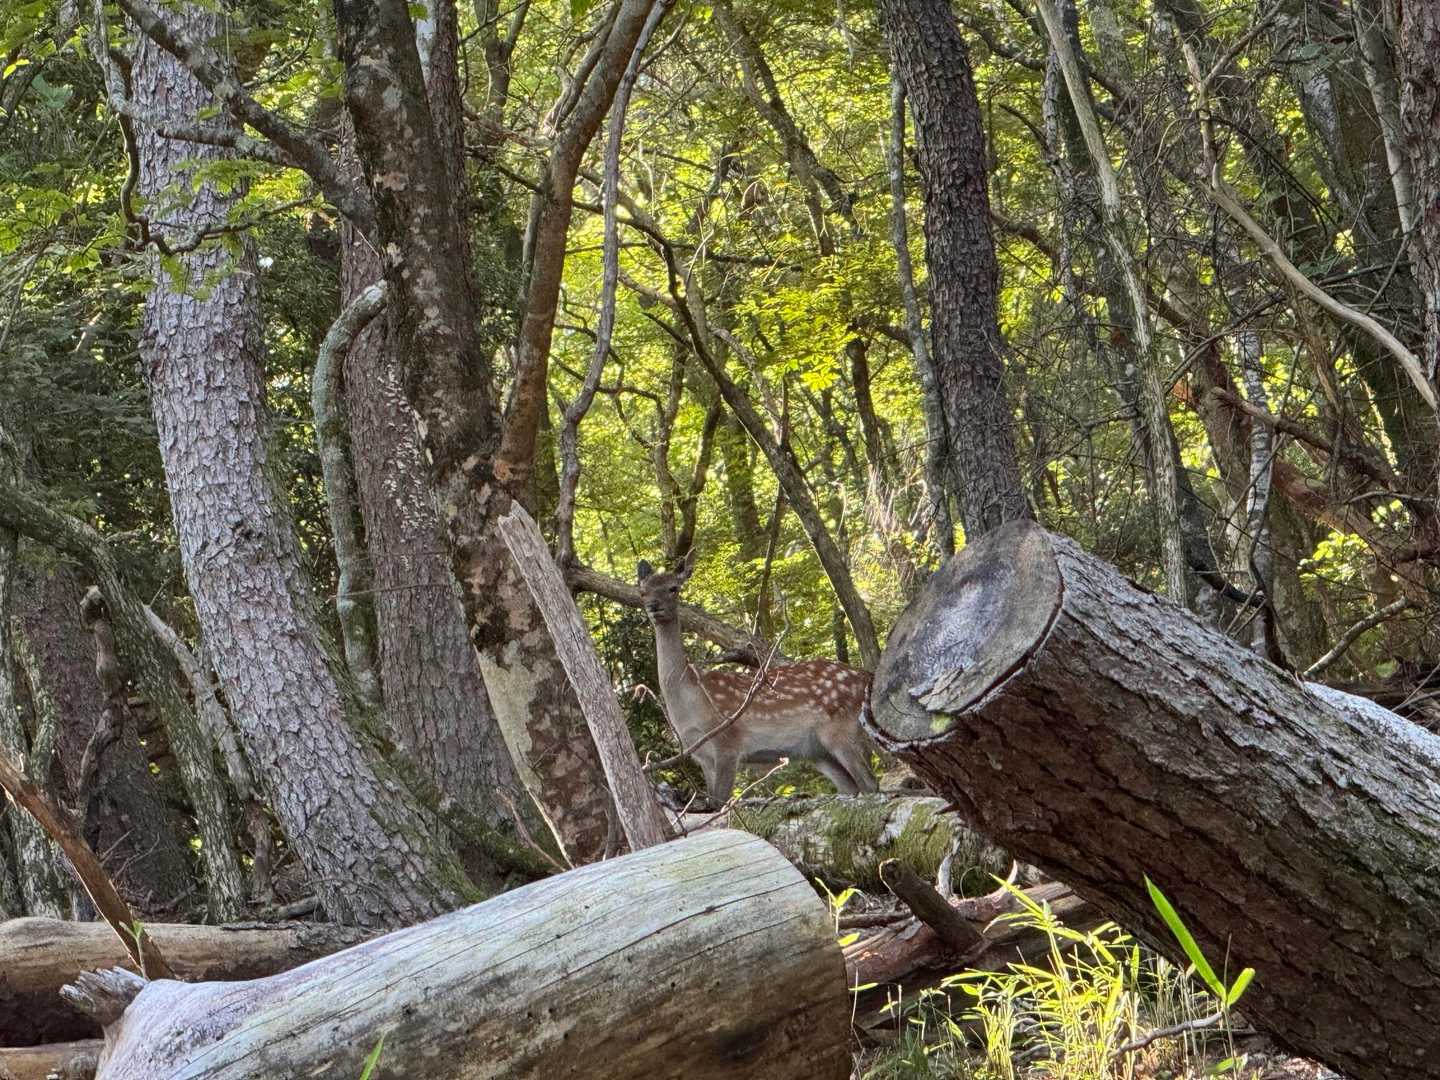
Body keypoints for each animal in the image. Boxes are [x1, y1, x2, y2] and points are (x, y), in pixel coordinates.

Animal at [637, 552, 878, 807]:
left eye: (673, 588)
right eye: (642, 591)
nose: (653, 606)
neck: (690, 699)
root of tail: (866, 677)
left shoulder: (727, 742)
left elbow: (720, 804)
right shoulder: (701, 755)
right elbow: (713, 805)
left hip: (840, 728)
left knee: (869, 783)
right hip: (816, 751)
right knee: (850, 786)